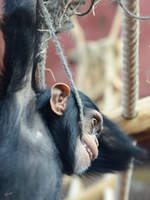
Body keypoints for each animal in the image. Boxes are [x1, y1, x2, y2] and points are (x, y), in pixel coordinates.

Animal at [0, 0, 145, 200]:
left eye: (98, 131)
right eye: (93, 123)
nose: (96, 140)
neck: (48, 129)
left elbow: (124, 153)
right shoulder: (20, 88)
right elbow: (22, 15)